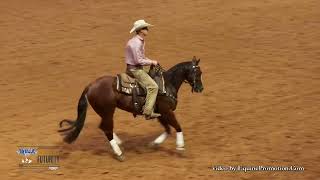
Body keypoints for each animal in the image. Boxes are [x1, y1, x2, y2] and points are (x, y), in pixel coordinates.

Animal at [58, 56, 204, 160]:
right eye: (198, 72)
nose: (200, 88)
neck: (167, 85)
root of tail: (90, 86)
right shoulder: (166, 112)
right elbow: (178, 127)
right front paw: (181, 148)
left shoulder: (160, 113)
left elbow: (168, 129)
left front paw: (154, 144)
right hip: (108, 111)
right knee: (107, 129)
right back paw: (119, 153)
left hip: (104, 112)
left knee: (104, 127)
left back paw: (119, 143)